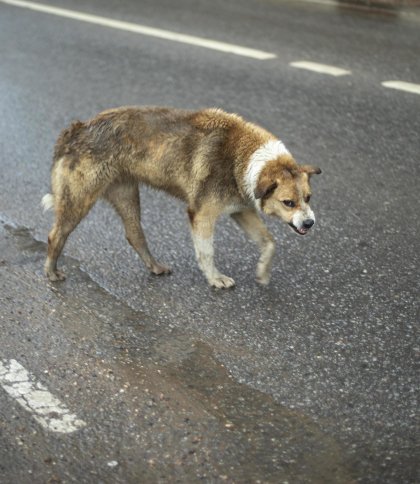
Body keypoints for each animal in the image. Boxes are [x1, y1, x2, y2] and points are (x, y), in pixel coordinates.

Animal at [41, 106, 320, 288]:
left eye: (308, 198)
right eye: (288, 202)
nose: (309, 223)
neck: (245, 157)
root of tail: (76, 129)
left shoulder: (241, 209)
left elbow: (269, 241)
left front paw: (262, 272)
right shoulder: (202, 213)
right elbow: (206, 251)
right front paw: (215, 278)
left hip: (125, 193)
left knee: (134, 234)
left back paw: (154, 266)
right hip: (79, 198)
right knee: (56, 235)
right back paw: (51, 271)